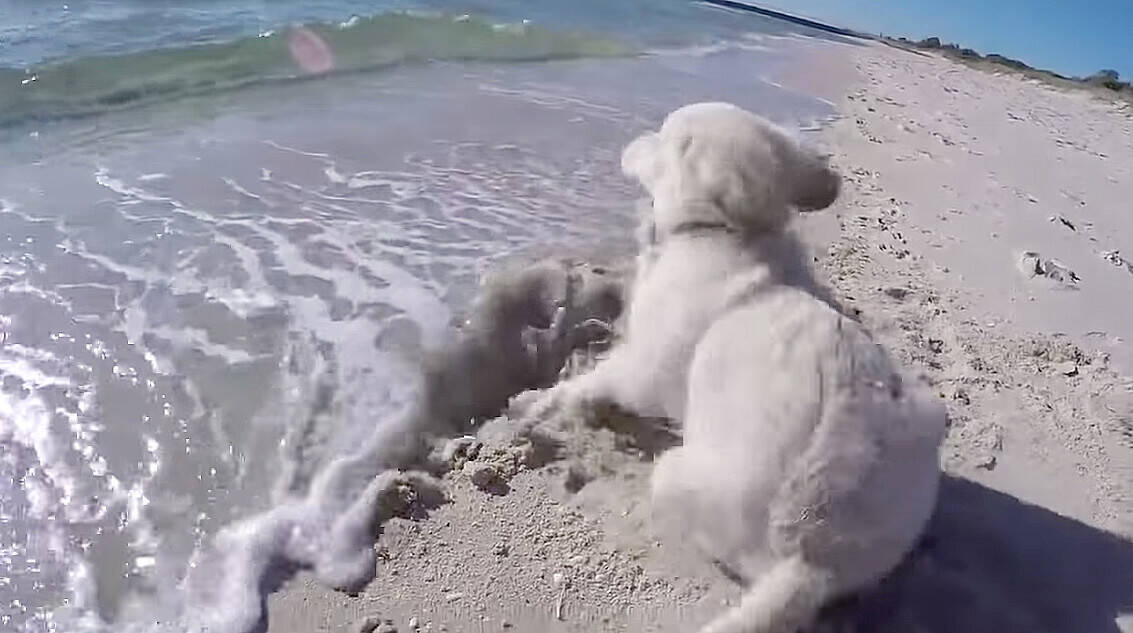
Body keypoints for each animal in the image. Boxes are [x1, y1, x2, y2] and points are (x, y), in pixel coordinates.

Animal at [515, 103, 946, 633]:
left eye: (663, 138)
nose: (632, 138)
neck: (719, 232)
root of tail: (814, 562)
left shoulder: (639, 366)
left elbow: (583, 385)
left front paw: (538, 403)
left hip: (676, 475)